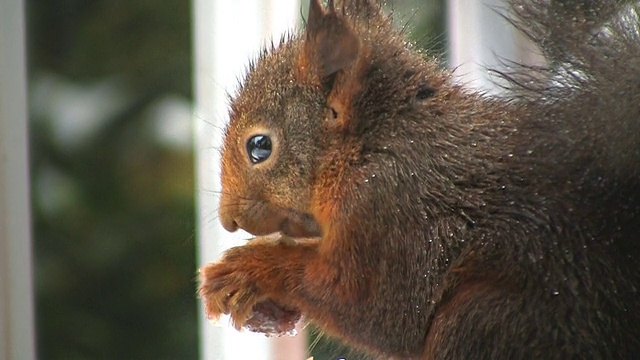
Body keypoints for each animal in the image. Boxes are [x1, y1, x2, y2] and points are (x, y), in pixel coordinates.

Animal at [198, 0, 636, 358]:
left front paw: (247, 268)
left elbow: (375, 308)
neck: (373, 142)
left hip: (487, 322)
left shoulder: (393, 209)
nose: (228, 220)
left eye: (259, 147)